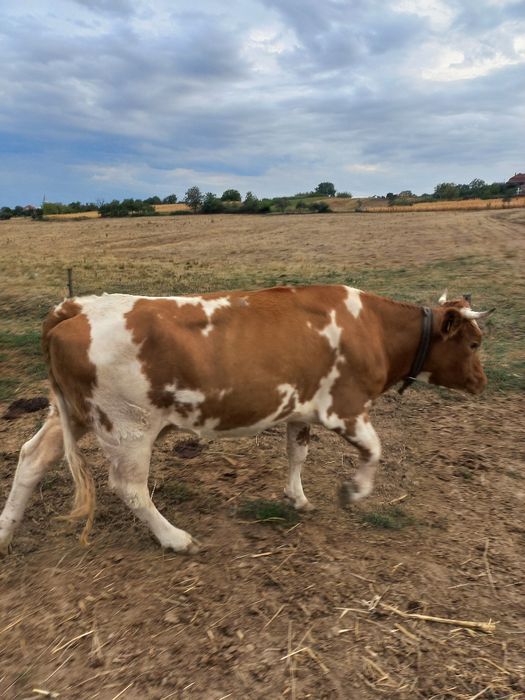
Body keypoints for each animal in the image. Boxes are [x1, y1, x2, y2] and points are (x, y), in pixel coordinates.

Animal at [0, 285, 493, 555]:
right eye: (473, 344)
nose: (482, 382)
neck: (372, 326)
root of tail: (74, 307)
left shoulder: (301, 408)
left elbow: (297, 453)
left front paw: (297, 497)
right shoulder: (346, 407)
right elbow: (374, 451)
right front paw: (352, 492)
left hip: (73, 414)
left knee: (31, 458)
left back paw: (5, 532)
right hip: (128, 425)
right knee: (129, 487)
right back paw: (175, 538)